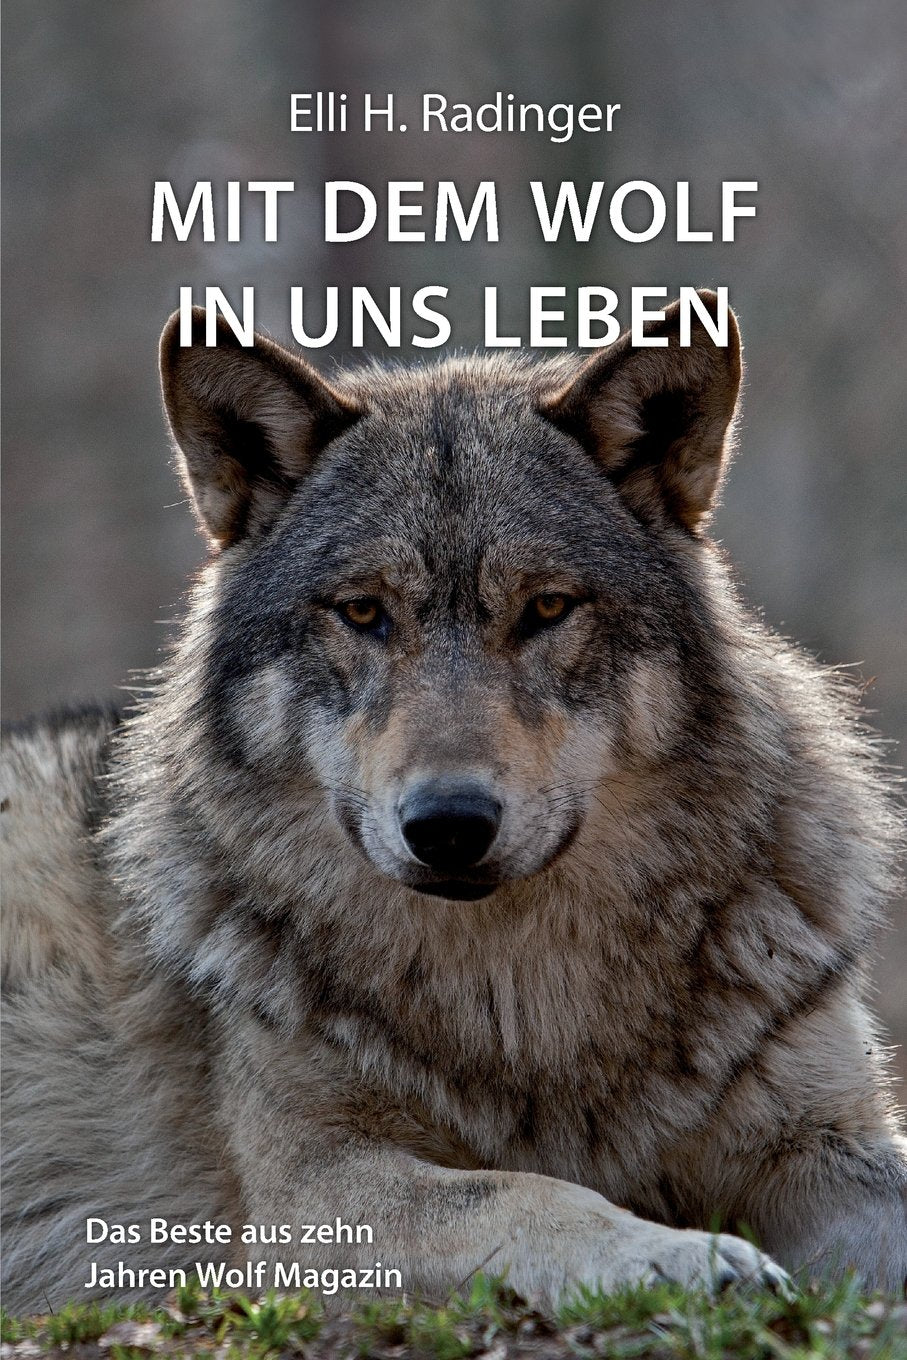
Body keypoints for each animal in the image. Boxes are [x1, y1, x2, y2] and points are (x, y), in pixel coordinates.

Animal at [2, 292, 905, 1312]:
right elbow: (524, 1191)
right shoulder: (311, 1192)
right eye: (362, 613)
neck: (520, 994)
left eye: (546, 608)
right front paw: (675, 1257)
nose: (447, 825)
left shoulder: (827, 1141)